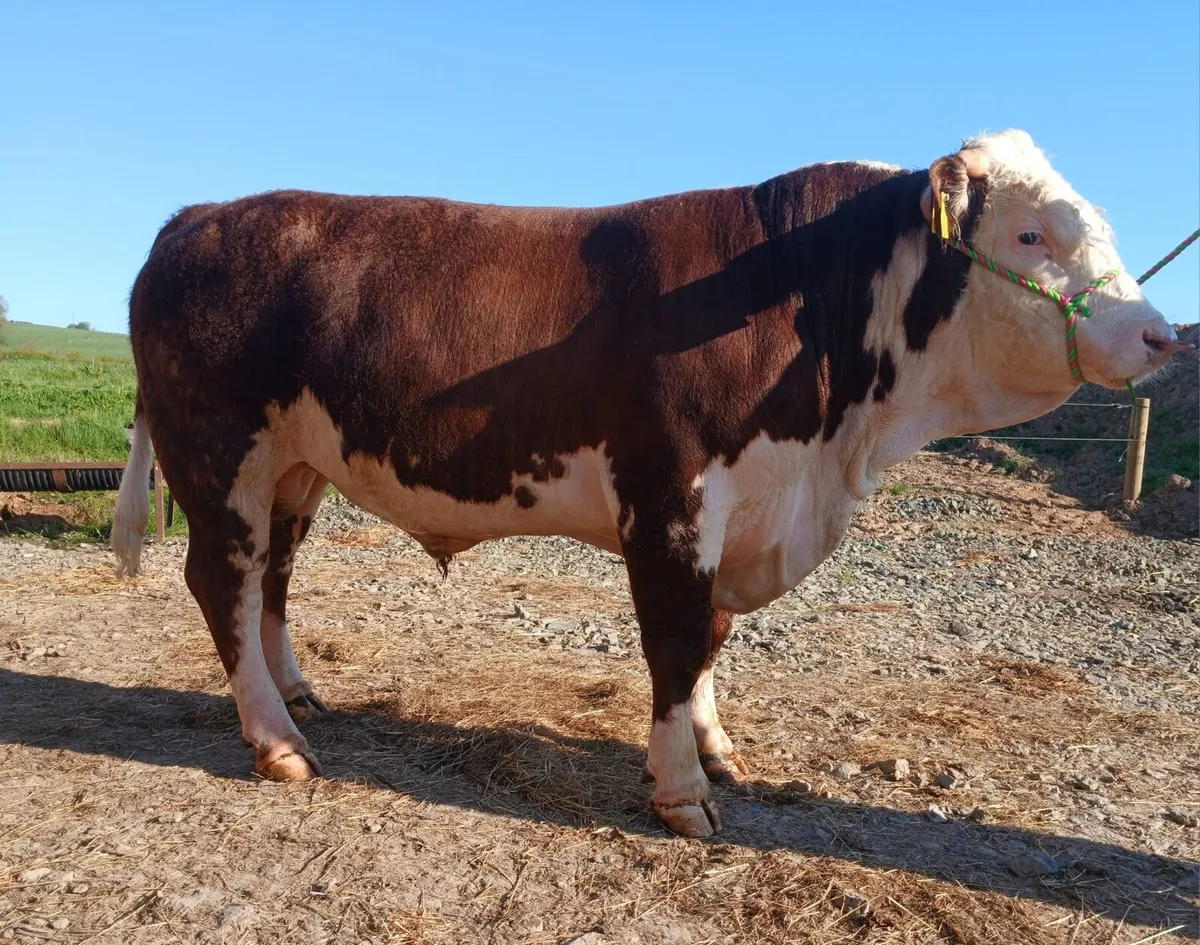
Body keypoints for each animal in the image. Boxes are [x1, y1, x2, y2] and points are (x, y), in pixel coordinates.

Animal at [112, 130, 1187, 837]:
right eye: (1032, 236)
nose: (1158, 336)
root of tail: (200, 218)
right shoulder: (671, 495)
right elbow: (674, 638)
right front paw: (681, 791)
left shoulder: (745, 505)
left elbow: (709, 638)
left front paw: (716, 749)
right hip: (218, 452)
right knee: (223, 581)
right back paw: (276, 741)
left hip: (296, 465)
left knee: (274, 580)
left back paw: (300, 695)